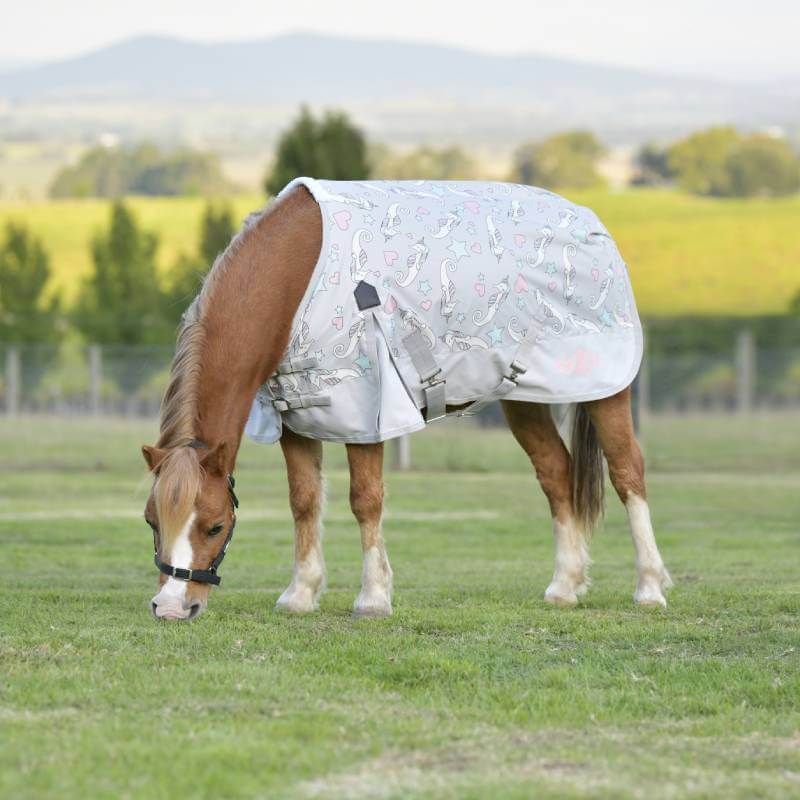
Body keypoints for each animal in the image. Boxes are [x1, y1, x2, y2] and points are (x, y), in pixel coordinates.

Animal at [142, 182, 671, 621]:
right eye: (151, 520)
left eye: (214, 526)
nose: (172, 608)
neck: (296, 275)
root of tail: (591, 222)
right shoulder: (296, 416)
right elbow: (304, 501)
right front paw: (301, 594)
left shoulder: (366, 410)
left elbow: (365, 500)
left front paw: (373, 598)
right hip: (524, 398)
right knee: (557, 475)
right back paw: (564, 587)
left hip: (606, 390)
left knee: (628, 472)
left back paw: (649, 587)